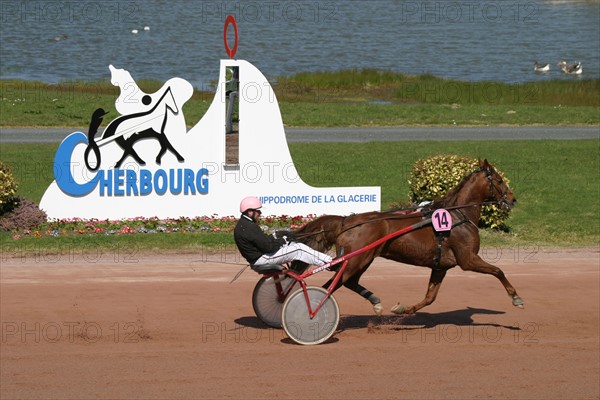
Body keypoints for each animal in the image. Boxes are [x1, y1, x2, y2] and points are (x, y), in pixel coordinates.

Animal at [294, 159, 520, 316]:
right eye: (499, 180)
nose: (512, 199)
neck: (457, 215)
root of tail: (347, 221)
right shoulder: (468, 259)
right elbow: (498, 271)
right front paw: (516, 297)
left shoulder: (441, 266)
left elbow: (430, 297)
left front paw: (403, 309)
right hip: (355, 260)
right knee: (329, 287)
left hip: (363, 259)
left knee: (348, 282)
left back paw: (375, 302)